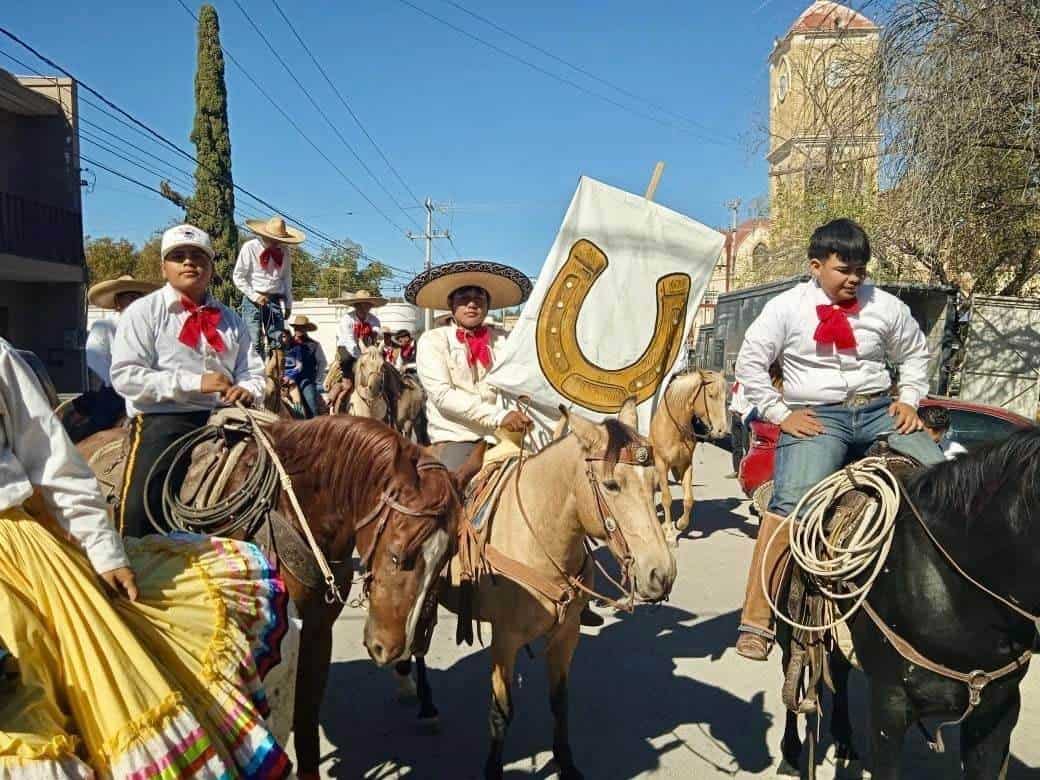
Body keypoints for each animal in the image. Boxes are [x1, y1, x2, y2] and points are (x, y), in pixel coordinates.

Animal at [78, 418, 482, 777]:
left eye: (447, 558)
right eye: (398, 555)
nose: (390, 648)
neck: (294, 510)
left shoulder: (317, 632)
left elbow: (305, 721)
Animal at [411, 399, 673, 777]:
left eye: (655, 484)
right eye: (611, 485)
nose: (661, 574)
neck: (539, 534)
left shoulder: (566, 634)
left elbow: (560, 703)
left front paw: (566, 764)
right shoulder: (505, 640)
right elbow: (501, 711)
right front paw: (492, 769)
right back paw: (424, 703)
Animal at [644, 372, 728, 536]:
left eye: (726, 398)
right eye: (711, 395)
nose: (722, 431)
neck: (675, 428)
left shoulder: (686, 465)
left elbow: (689, 499)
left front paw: (681, 524)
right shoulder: (661, 464)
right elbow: (666, 498)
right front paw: (669, 532)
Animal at [777, 428, 1035, 780]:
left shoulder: (997, 713)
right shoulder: (890, 708)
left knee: (840, 673)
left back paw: (844, 740)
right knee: (793, 676)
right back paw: (790, 753)